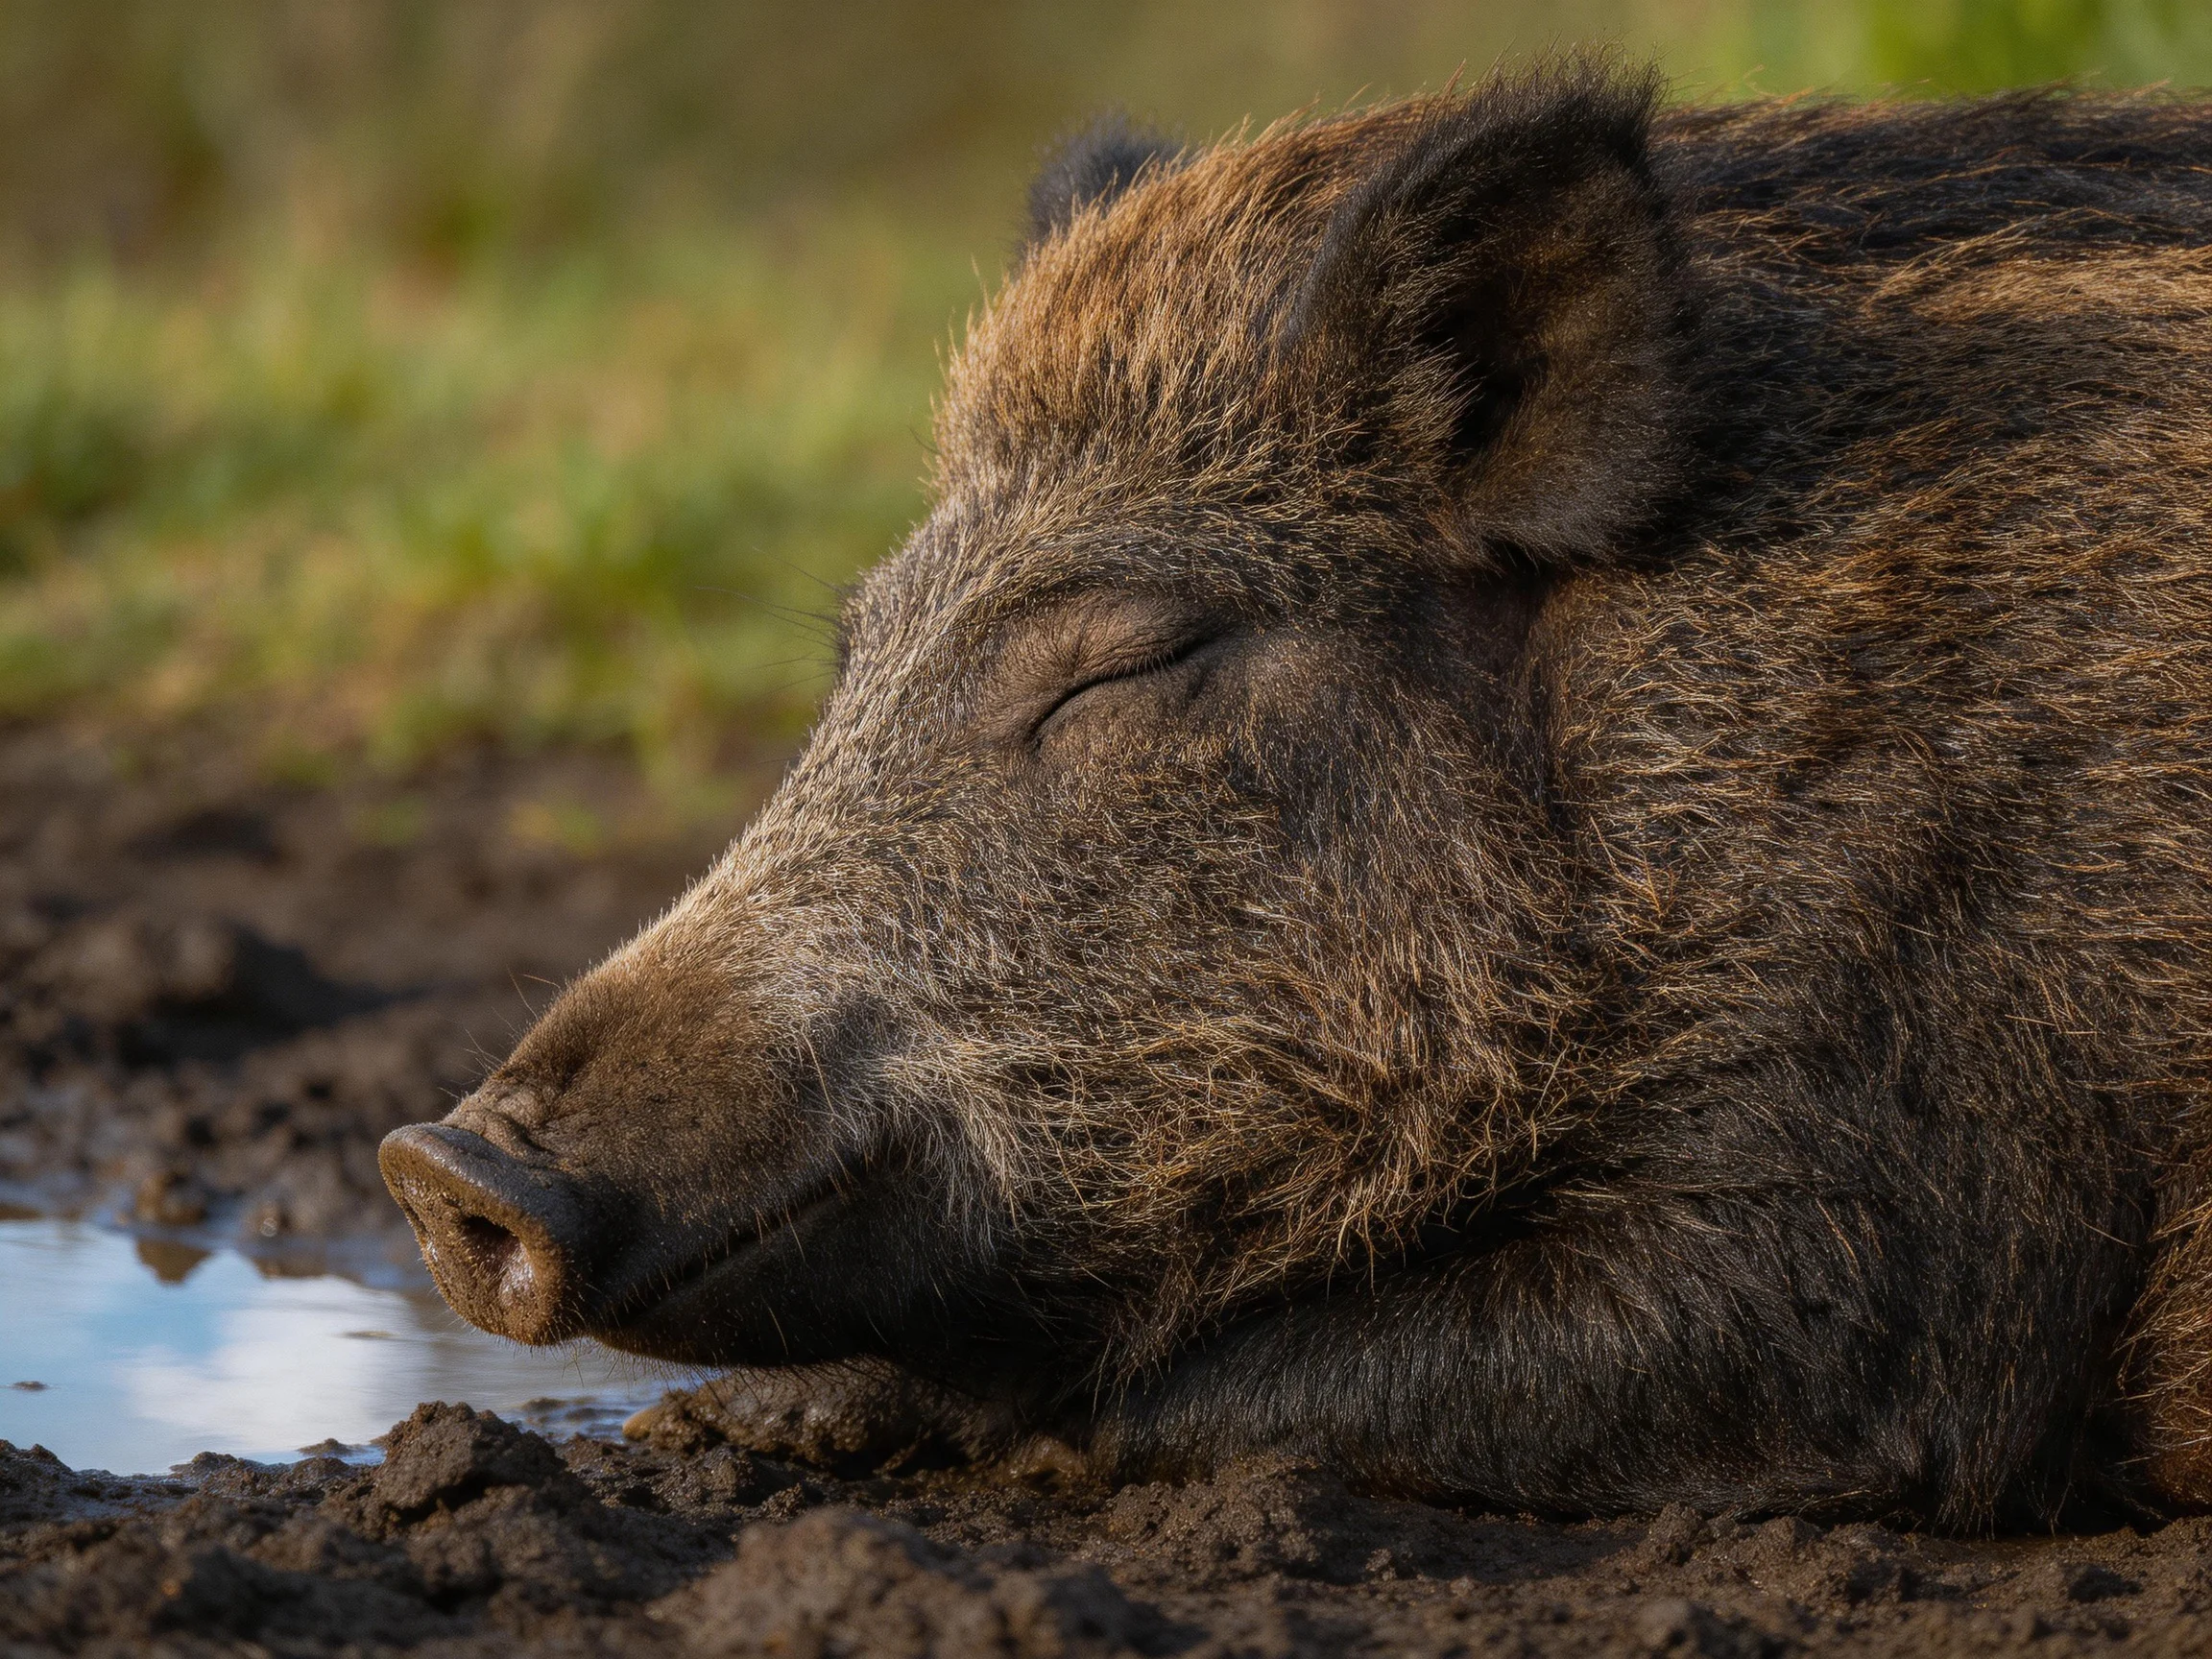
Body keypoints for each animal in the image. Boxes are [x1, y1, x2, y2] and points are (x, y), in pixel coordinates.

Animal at [382, 62, 2212, 1528]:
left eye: (1122, 666)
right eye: (860, 641)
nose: (439, 1167)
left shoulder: (1892, 1208)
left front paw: (776, 1422)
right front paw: (735, 1425)